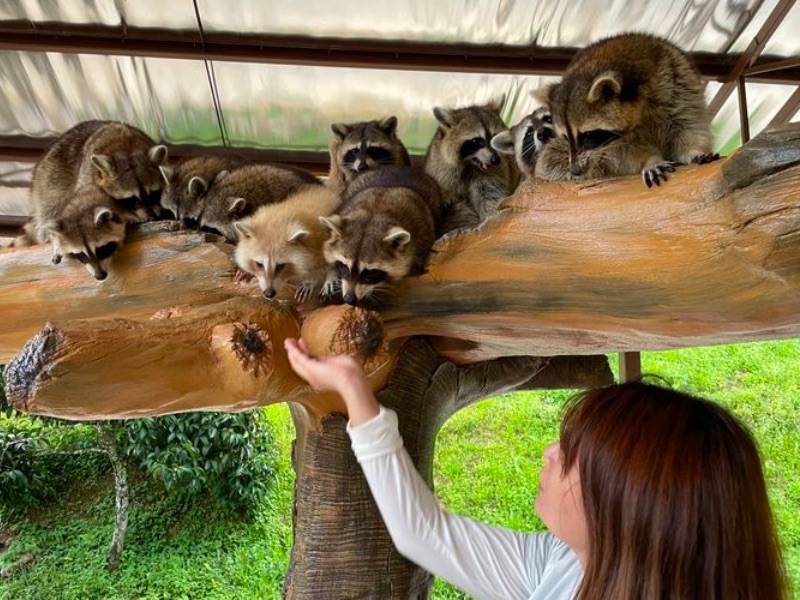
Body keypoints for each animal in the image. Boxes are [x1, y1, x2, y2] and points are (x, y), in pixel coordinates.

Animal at [318, 166, 444, 308]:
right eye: (344, 266)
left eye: (370, 272)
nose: (349, 299)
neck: (375, 212)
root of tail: (398, 168)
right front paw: (331, 274)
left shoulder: (421, 239)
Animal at [424, 97, 520, 229]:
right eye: (476, 141)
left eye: (495, 137)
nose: (496, 160)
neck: (469, 164)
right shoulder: (442, 168)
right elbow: (449, 193)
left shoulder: (495, 172)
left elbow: (489, 197)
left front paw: (490, 219)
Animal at [540, 32, 716, 188]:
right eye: (565, 137)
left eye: (587, 135)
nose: (575, 170)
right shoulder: (616, 143)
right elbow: (629, 152)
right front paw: (651, 160)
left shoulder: (677, 82)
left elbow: (686, 125)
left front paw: (692, 151)